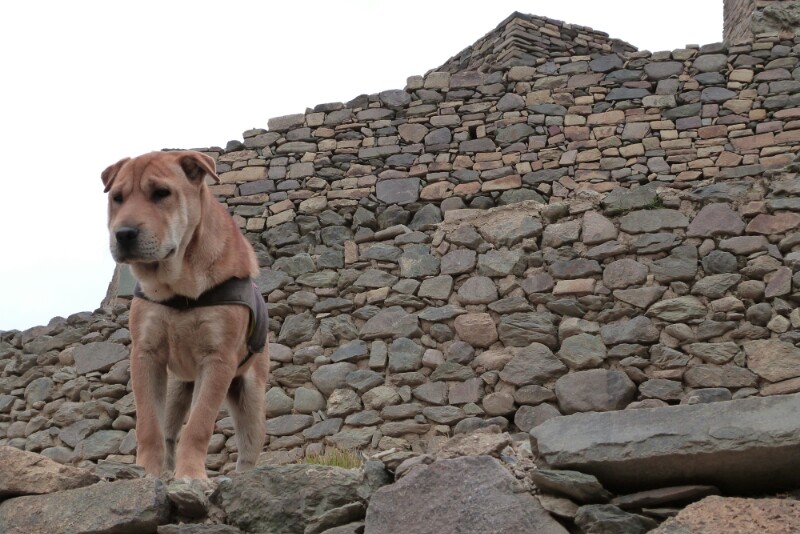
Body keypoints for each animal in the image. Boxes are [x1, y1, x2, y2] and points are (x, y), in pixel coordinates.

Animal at [101, 150, 270, 482]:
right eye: (117, 198)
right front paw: (148, 472)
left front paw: (191, 474)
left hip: (252, 397)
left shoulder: (218, 360)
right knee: (168, 431)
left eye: (161, 193)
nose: (123, 234)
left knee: (249, 447)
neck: (178, 283)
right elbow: (148, 426)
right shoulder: (146, 355)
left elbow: (199, 425)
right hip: (175, 388)